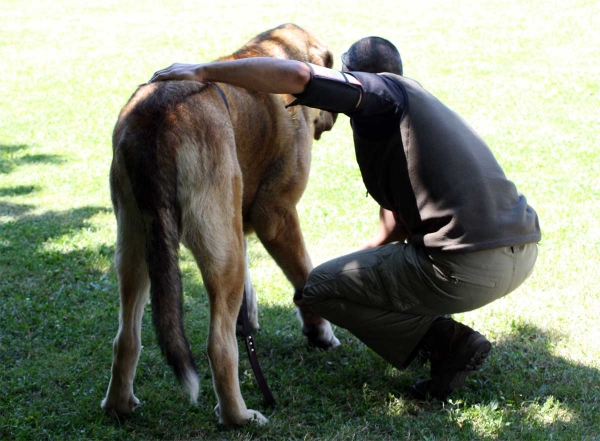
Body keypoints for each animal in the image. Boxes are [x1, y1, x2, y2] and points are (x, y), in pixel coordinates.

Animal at [101, 24, 340, 426]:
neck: (271, 51)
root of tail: (158, 117)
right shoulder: (277, 216)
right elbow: (303, 276)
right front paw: (320, 332)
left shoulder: (236, 225)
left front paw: (249, 321)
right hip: (219, 255)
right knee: (218, 346)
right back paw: (238, 416)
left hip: (135, 244)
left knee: (126, 336)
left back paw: (119, 405)